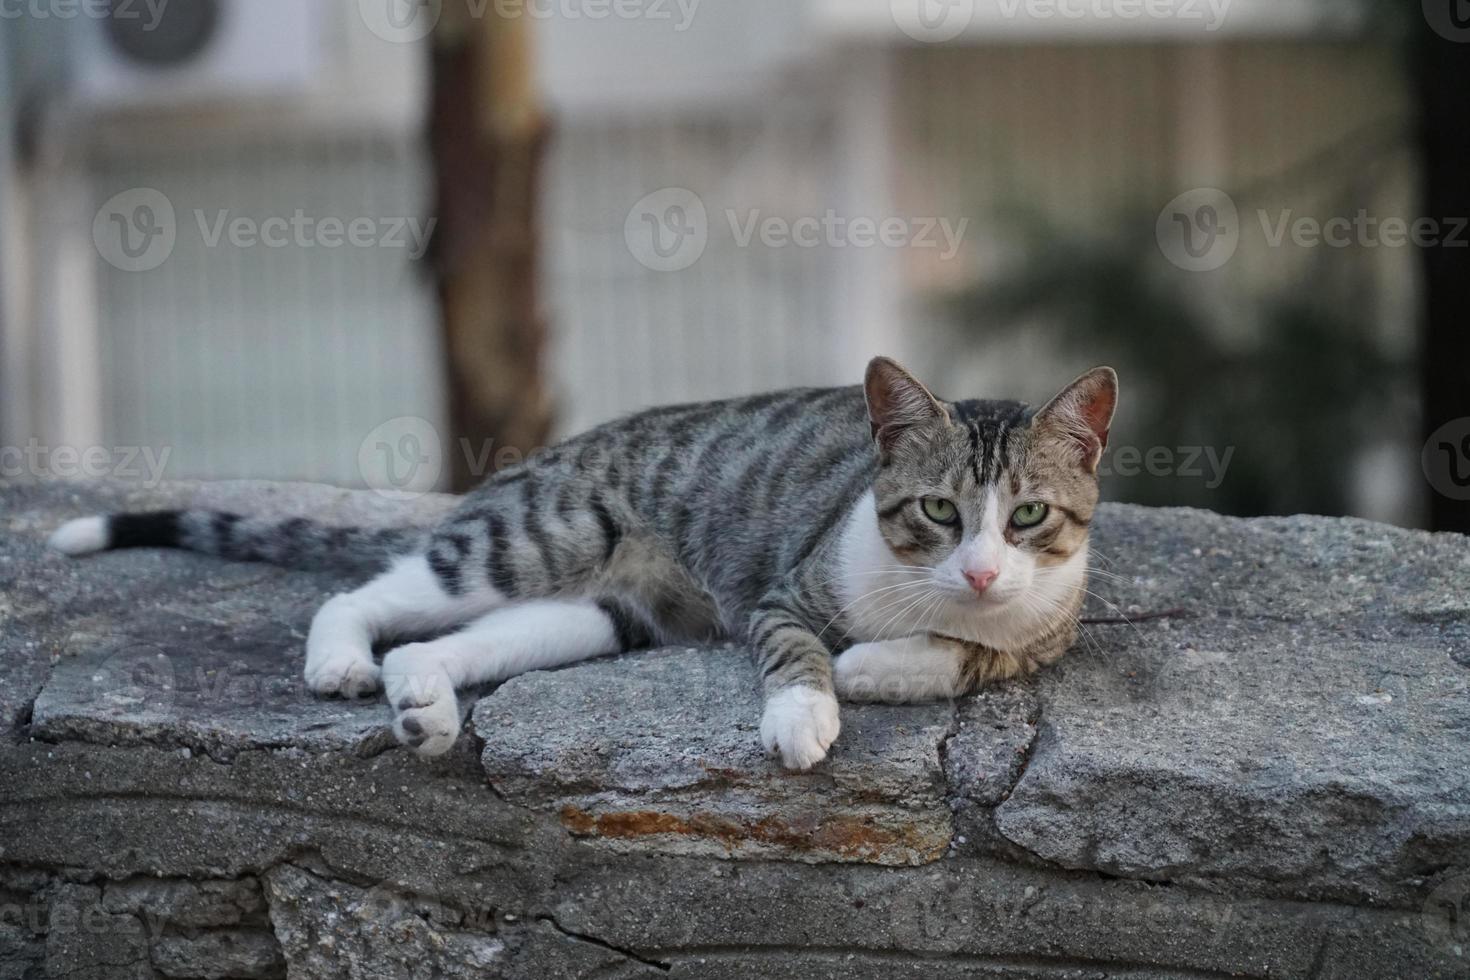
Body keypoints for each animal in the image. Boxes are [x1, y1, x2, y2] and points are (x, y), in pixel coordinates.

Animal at [51, 357, 1117, 769]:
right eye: (939, 510)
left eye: (1026, 515)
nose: (979, 571)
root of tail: (554, 453)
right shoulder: (781, 590)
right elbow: (794, 648)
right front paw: (808, 707)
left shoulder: (1046, 630)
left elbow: (968, 656)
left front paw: (880, 663)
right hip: (538, 536)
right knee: (369, 591)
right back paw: (344, 658)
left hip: (602, 612)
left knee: (446, 646)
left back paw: (425, 705)